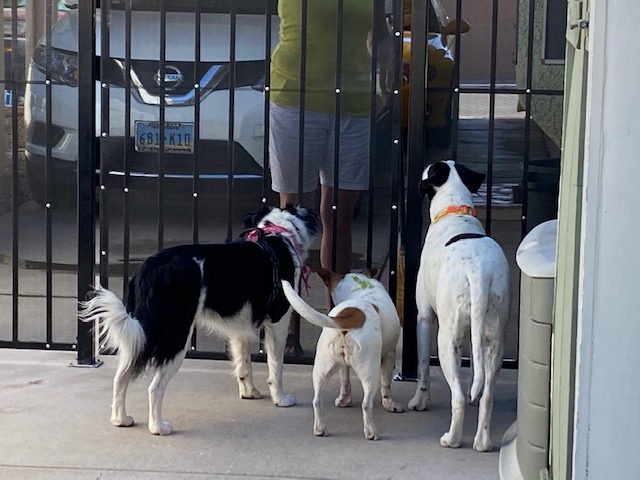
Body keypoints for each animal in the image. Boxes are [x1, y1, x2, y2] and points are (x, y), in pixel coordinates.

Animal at [79, 205, 320, 436]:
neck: (277, 235)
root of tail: (148, 268)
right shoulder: (279, 322)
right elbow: (276, 366)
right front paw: (281, 399)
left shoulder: (239, 328)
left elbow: (244, 364)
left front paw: (249, 393)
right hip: (175, 336)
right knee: (154, 387)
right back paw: (158, 427)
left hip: (140, 334)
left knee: (121, 377)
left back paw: (121, 419)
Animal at [280, 268, 400, 440]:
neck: (362, 288)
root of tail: (351, 314)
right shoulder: (390, 355)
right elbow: (386, 385)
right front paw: (390, 404)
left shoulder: (342, 365)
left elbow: (345, 381)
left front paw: (344, 400)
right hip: (369, 372)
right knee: (366, 404)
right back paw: (371, 432)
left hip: (321, 369)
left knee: (317, 400)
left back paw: (320, 429)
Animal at [410, 159, 510, 452]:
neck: (455, 210)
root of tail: (478, 271)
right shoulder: (477, 337)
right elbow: (475, 374)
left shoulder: (424, 318)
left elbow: (422, 367)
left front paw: (419, 402)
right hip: (495, 343)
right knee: (486, 395)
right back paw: (482, 442)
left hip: (445, 341)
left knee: (457, 398)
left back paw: (452, 439)